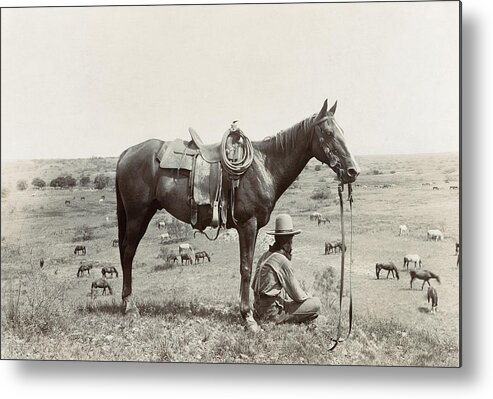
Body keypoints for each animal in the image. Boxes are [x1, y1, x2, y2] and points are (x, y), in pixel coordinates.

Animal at [117, 100, 360, 332]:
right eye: (328, 133)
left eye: (342, 131)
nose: (352, 171)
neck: (264, 166)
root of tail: (126, 153)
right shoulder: (247, 225)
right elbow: (246, 268)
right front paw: (248, 317)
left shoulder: (255, 227)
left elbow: (250, 265)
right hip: (138, 215)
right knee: (128, 253)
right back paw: (130, 306)